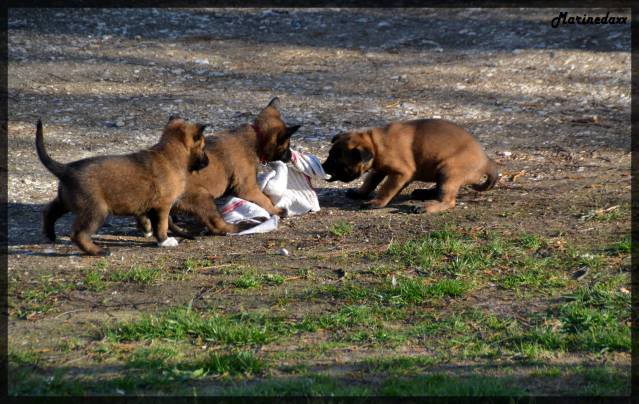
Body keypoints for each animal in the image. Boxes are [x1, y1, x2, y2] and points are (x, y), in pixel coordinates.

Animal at [324, 117, 500, 213]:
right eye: (329, 155)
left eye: (337, 161)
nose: (324, 166)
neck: (376, 144)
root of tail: (487, 161)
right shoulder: (379, 169)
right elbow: (370, 182)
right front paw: (359, 193)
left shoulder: (401, 173)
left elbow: (385, 189)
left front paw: (376, 203)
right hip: (444, 175)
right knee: (439, 190)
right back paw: (423, 193)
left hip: (448, 171)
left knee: (449, 200)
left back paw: (427, 207)